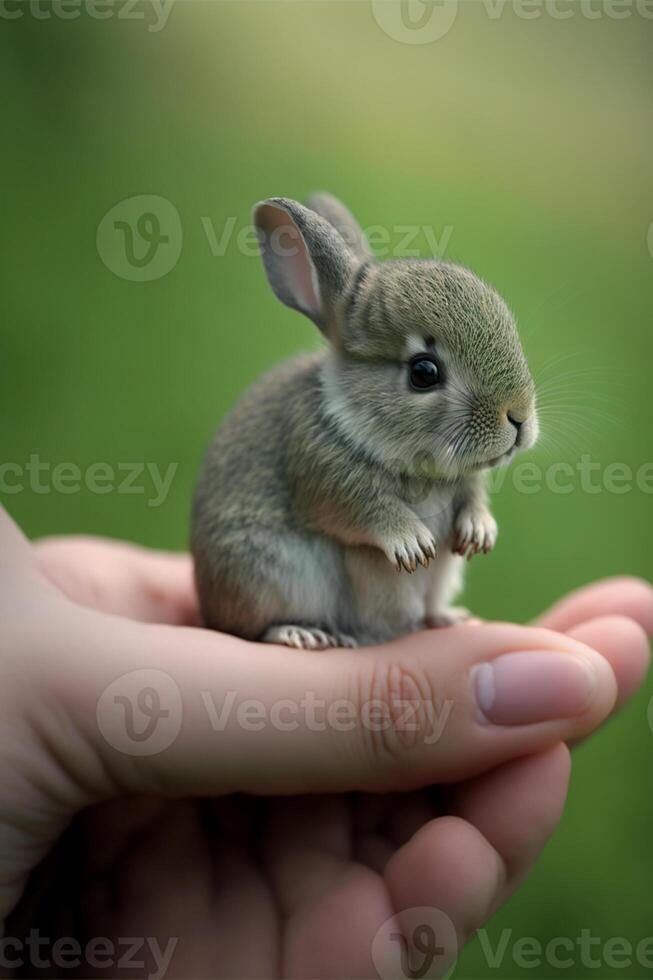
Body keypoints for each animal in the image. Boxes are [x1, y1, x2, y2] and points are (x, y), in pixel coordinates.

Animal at [191, 194, 536, 648]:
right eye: (424, 372)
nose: (519, 418)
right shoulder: (319, 465)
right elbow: (363, 510)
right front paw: (411, 543)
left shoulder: (466, 480)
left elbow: (473, 497)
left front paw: (480, 530)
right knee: (254, 628)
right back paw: (299, 633)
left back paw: (445, 617)